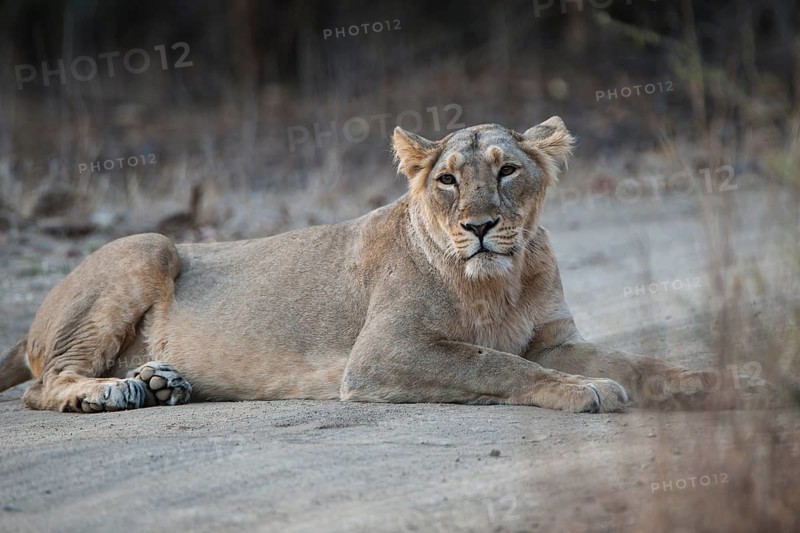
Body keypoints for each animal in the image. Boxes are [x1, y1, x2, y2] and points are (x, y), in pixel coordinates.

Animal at [0, 118, 718, 413]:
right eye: (449, 180)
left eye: (507, 171)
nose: (480, 227)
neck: (499, 283)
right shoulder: (382, 353)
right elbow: (496, 363)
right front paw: (583, 390)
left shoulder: (554, 338)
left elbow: (638, 360)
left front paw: (714, 381)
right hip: (150, 244)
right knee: (44, 383)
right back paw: (108, 393)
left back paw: (158, 382)